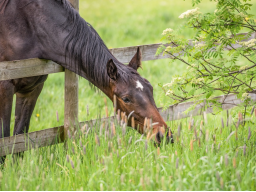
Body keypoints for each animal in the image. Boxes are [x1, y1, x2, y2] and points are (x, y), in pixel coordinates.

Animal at [0, 0, 173, 164]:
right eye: (126, 99)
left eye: (151, 89)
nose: (164, 135)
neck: (31, 23)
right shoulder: (5, 88)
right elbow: (5, 139)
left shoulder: (32, 89)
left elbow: (19, 141)